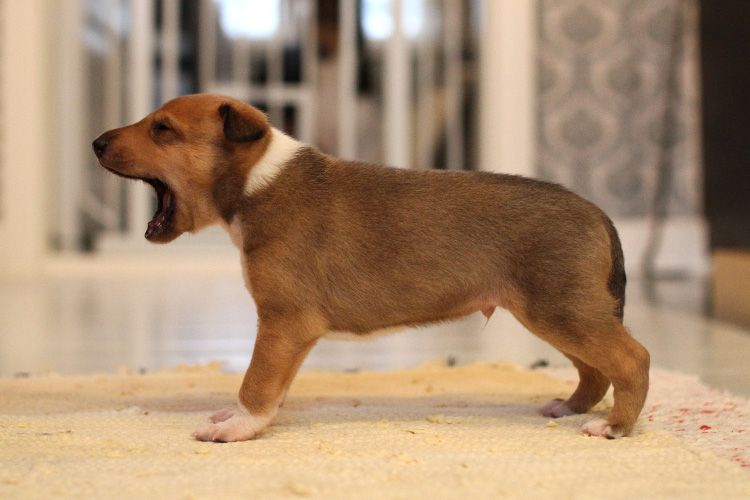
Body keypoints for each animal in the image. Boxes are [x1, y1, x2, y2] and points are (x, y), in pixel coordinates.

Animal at [92, 94, 650, 442]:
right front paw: (247, 419)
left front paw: (236, 428)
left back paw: (614, 428)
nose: (95, 142)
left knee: (632, 359)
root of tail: (596, 211)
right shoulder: (290, 333)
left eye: (163, 129)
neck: (256, 183)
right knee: (595, 369)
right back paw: (571, 407)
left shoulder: (283, 321)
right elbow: (274, 384)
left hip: (562, 310)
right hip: (563, 312)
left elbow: (256, 381)